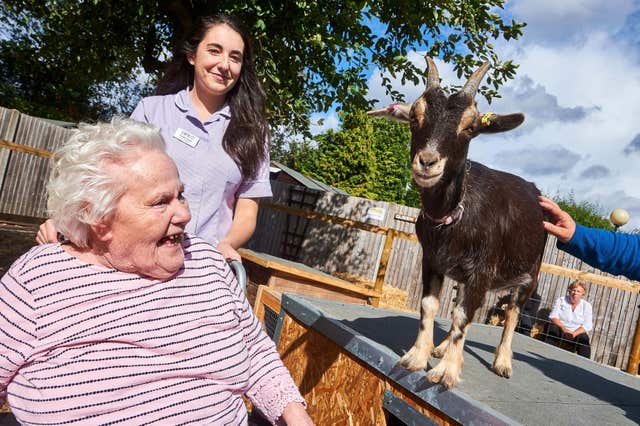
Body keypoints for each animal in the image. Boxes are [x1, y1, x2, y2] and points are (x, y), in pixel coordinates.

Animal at [370, 58, 544, 388]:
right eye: (414, 117)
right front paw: (417, 357)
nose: (427, 162)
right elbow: (430, 306)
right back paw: (442, 348)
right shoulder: (432, 260)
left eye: (471, 128)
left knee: (512, 313)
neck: (452, 218)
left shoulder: (483, 270)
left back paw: (502, 362)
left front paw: (445, 373)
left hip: (530, 274)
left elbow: (464, 316)